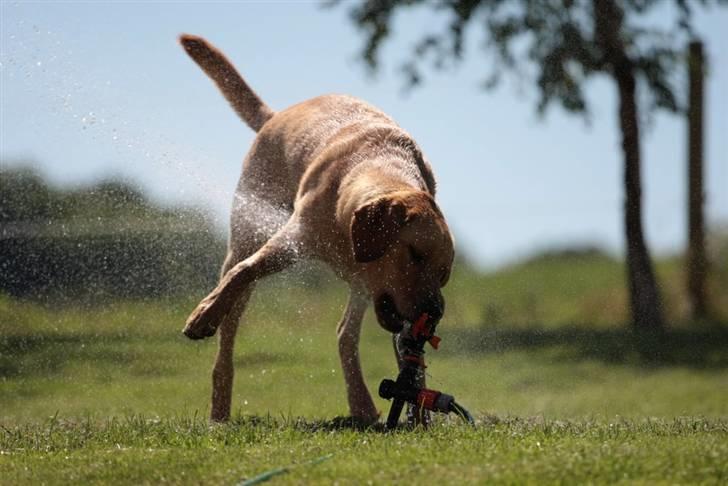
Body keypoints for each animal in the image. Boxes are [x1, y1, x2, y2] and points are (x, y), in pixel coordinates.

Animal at [179, 34, 452, 422]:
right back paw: (219, 404)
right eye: (414, 253)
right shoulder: (294, 238)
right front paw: (203, 314)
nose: (436, 314)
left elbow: (402, 355)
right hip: (248, 229)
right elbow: (246, 271)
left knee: (344, 334)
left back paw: (363, 403)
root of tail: (275, 115)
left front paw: (418, 409)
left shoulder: (371, 284)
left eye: (444, 274)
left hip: (359, 287)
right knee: (230, 324)